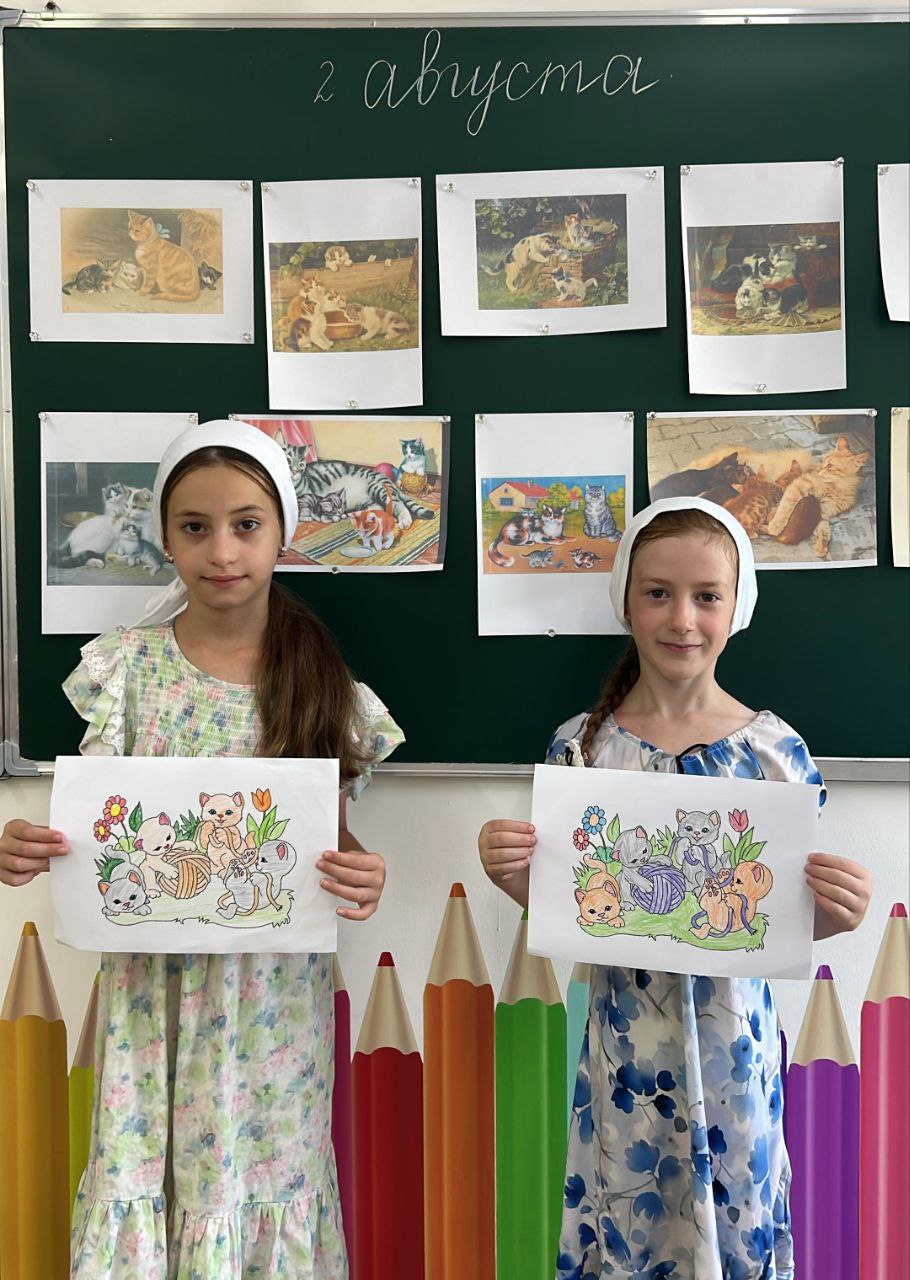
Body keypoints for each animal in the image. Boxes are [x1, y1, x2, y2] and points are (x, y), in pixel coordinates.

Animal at [275, 429, 434, 529]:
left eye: (301, 464)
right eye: (287, 460)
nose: (295, 471)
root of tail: (390, 481)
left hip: (378, 488)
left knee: (398, 504)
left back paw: (404, 520)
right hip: (366, 502)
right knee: (381, 508)